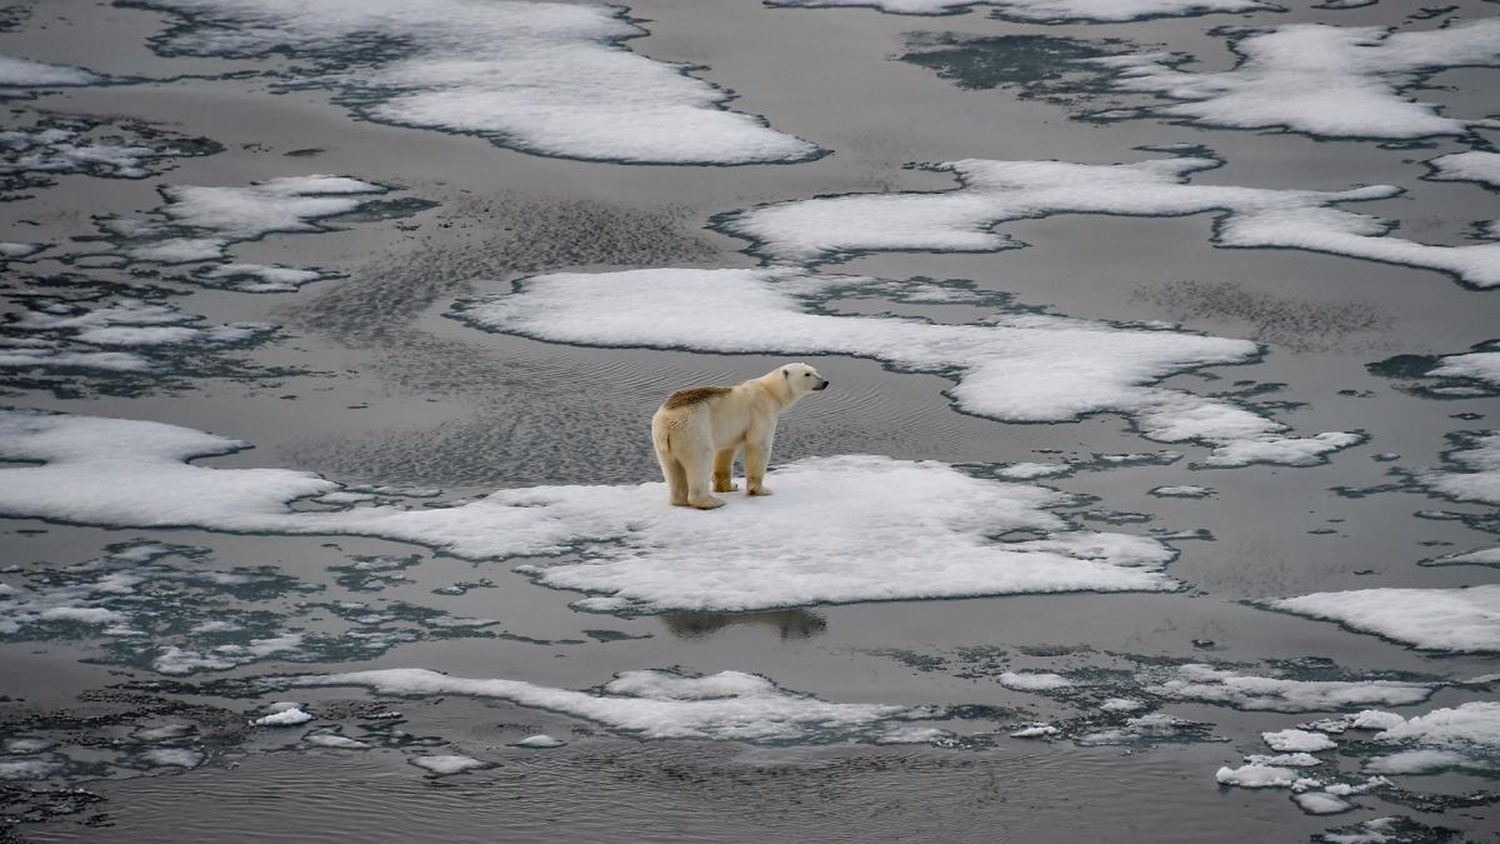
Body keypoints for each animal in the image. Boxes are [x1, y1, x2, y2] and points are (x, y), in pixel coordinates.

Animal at [648, 361, 828, 509]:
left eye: (815, 370)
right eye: (807, 374)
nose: (825, 382)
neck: (770, 391)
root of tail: (667, 421)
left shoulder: (730, 430)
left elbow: (726, 453)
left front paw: (729, 486)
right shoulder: (760, 413)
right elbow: (758, 446)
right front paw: (761, 490)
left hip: (663, 441)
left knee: (671, 467)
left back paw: (679, 499)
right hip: (693, 430)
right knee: (700, 459)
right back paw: (712, 501)